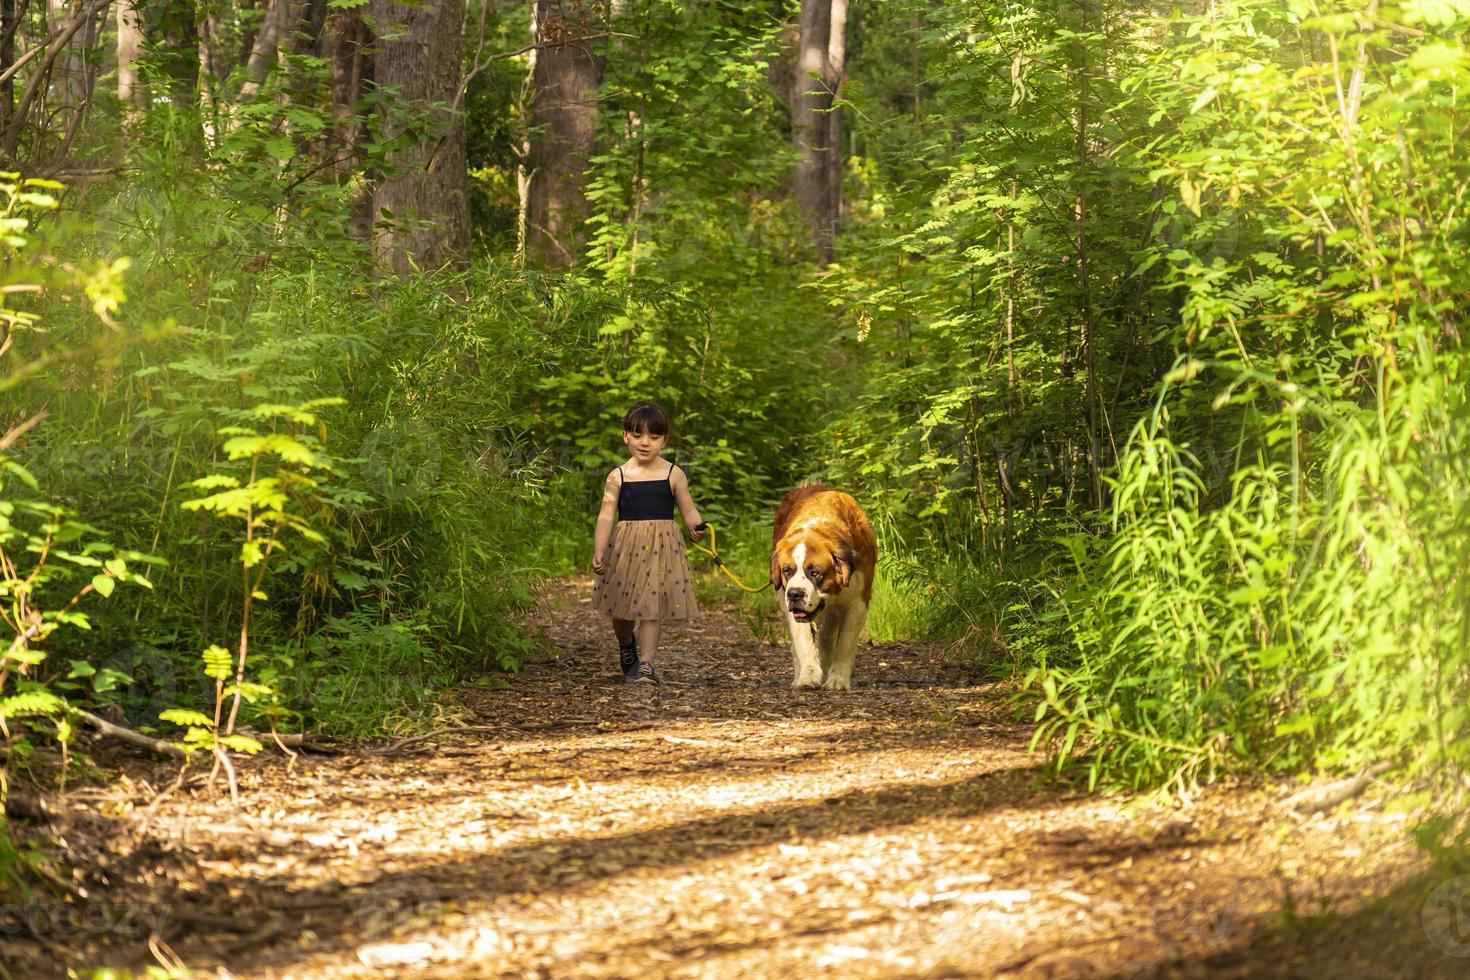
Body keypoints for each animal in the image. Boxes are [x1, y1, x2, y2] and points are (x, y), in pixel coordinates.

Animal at [770, 484, 870, 690]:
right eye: (787, 571)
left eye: (815, 573)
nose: (795, 594)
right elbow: (805, 642)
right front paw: (808, 676)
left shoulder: (858, 603)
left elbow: (845, 643)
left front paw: (838, 679)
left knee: (827, 636)